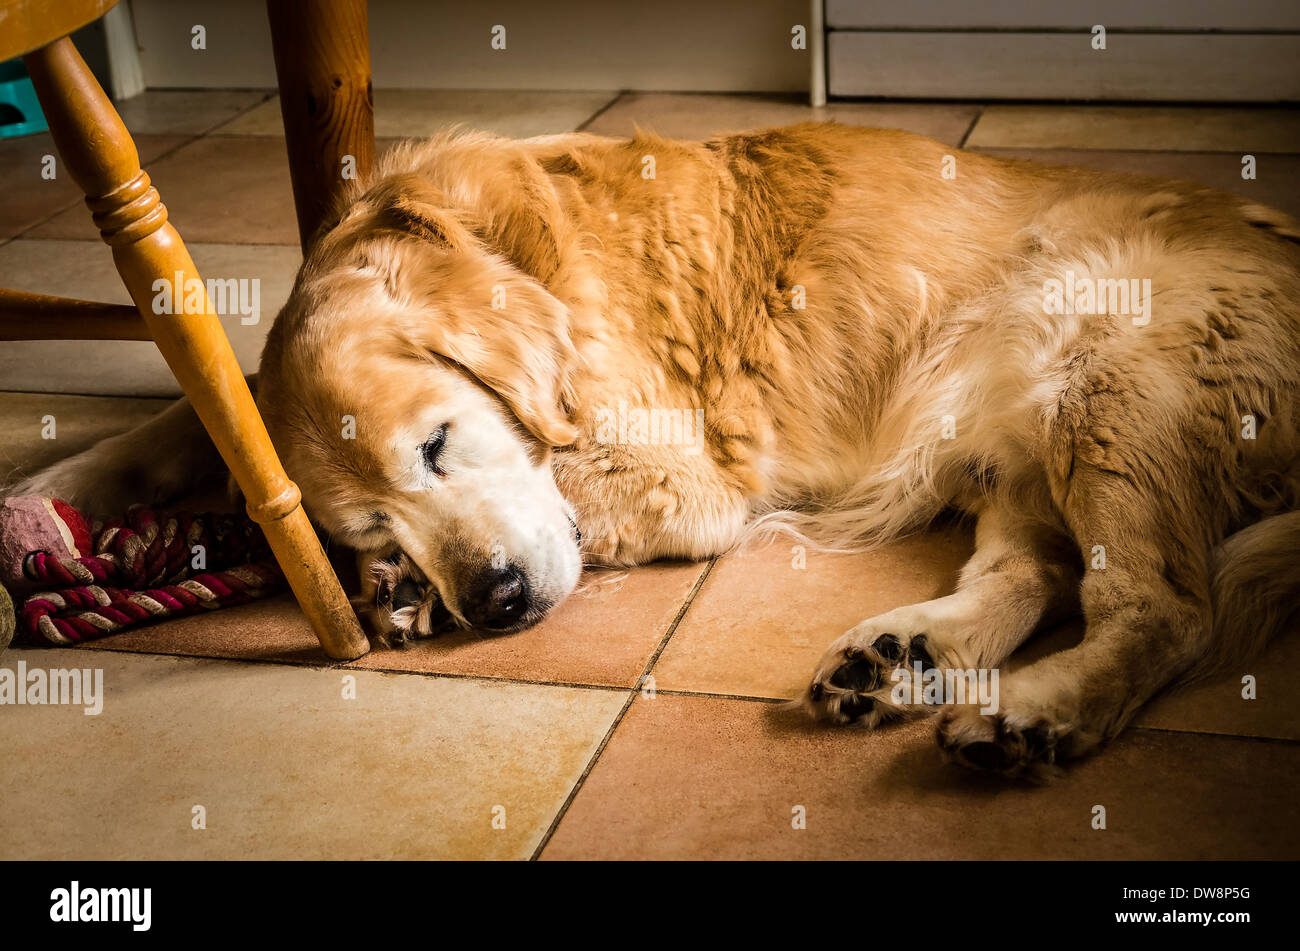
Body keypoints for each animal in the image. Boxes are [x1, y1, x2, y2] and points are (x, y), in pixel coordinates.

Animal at [20, 124, 1300, 779]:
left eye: (438, 443)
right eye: (365, 520)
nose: (493, 601)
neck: (488, 240)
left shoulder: (686, 481)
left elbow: (581, 495)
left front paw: (404, 596)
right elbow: (206, 409)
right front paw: (53, 493)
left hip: (1103, 380)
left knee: (1157, 604)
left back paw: (1035, 711)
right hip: (1021, 428)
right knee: (1034, 573)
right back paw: (906, 658)